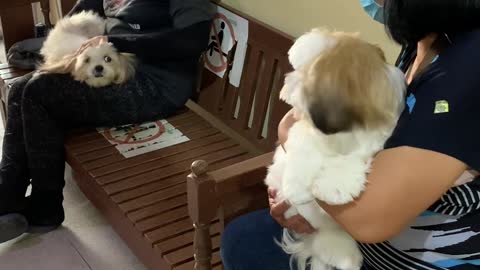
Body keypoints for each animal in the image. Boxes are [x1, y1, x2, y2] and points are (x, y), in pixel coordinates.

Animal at [264, 28, 406, 270]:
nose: (287, 84)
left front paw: (336, 187)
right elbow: (304, 149)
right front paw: (297, 187)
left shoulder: (375, 139)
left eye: (307, 73)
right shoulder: (303, 128)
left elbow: (352, 160)